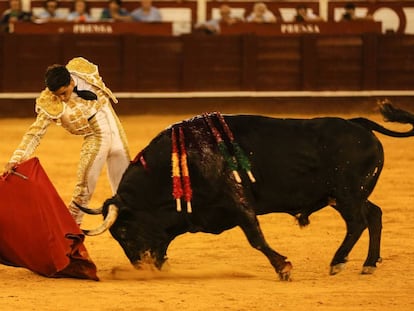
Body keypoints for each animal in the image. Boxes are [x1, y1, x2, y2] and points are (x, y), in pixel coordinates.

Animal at [81, 103, 414, 282]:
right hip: (348, 195)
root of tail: (359, 124)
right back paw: (369, 264)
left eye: (124, 232)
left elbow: (255, 237)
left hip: (346, 194)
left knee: (357, 222)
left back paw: (338, 261)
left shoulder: (238, 202)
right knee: (374, 214)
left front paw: (284, 268)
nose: (143, 268)